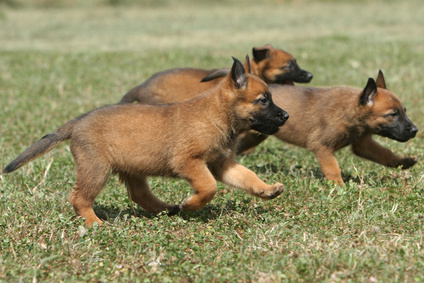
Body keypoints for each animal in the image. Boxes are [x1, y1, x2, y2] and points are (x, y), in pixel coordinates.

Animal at [2, 57, 288, 229]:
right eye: (263, 100)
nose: (286, 115)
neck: (218, 114)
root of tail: (77, 122)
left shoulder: (222, 163)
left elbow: (246, 176)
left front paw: (266, 189)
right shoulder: (189, 162)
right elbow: (208, 188)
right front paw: (191, 204)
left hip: (131, 167)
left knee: (139, 194)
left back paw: (165, 209)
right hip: (96, 169)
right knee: (79, 197)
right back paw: (95, 223)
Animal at [237, 71, 420, 184]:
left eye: (404, 111)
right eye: (393, 114)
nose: (415, 130)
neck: (349, 110)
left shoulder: (363, 145)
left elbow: (384, 153)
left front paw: (402, 162)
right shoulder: (321, 146)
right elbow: (333, 168)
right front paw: (339, 186)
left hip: (254, 137)